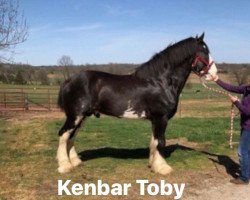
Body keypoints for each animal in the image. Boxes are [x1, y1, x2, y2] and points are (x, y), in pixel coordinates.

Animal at [56, 33, 217, 174]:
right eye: (204, 51)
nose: (214, 74)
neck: (161, 81)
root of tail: (68, 80)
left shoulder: (155, 120)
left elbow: (154, 142)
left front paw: (153, 165)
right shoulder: (161, 118)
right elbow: (161, 141)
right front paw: (163, 168)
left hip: (83, 116)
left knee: (71, 136)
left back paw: (75, 162)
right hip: (75, 115)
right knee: (64, 134)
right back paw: (65, 166)